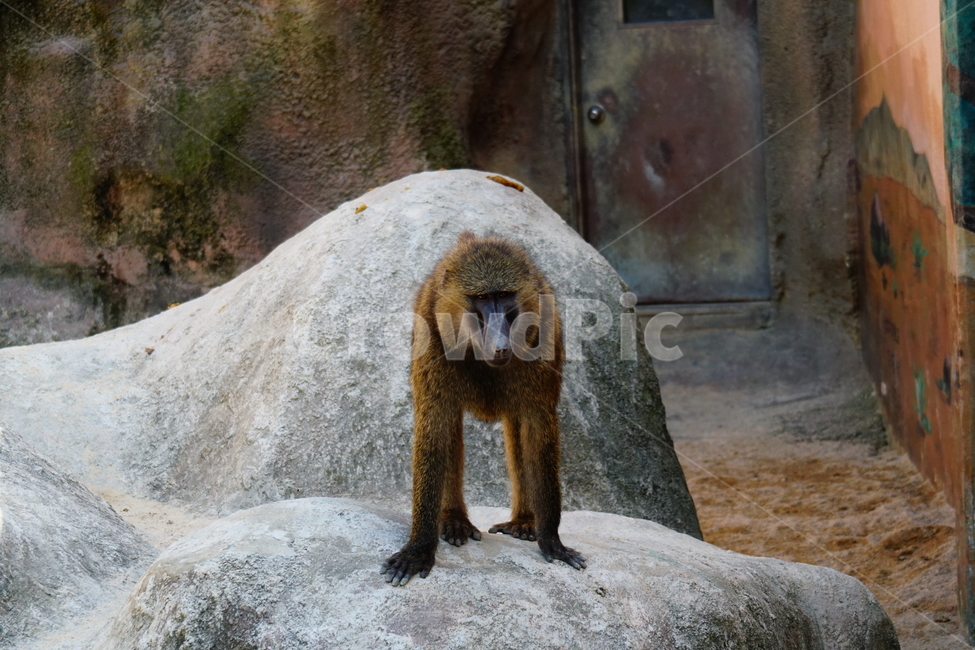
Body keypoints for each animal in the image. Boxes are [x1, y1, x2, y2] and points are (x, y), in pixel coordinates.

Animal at [380, 231, 586, 586]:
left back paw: (524, 522)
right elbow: (436, 429)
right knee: (451, 426)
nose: (500, 345)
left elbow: (536, 431)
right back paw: (454, 520)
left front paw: (552, 540)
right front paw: (419, 548)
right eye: (481, 299)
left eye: (503, 296)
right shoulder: (432, 341)